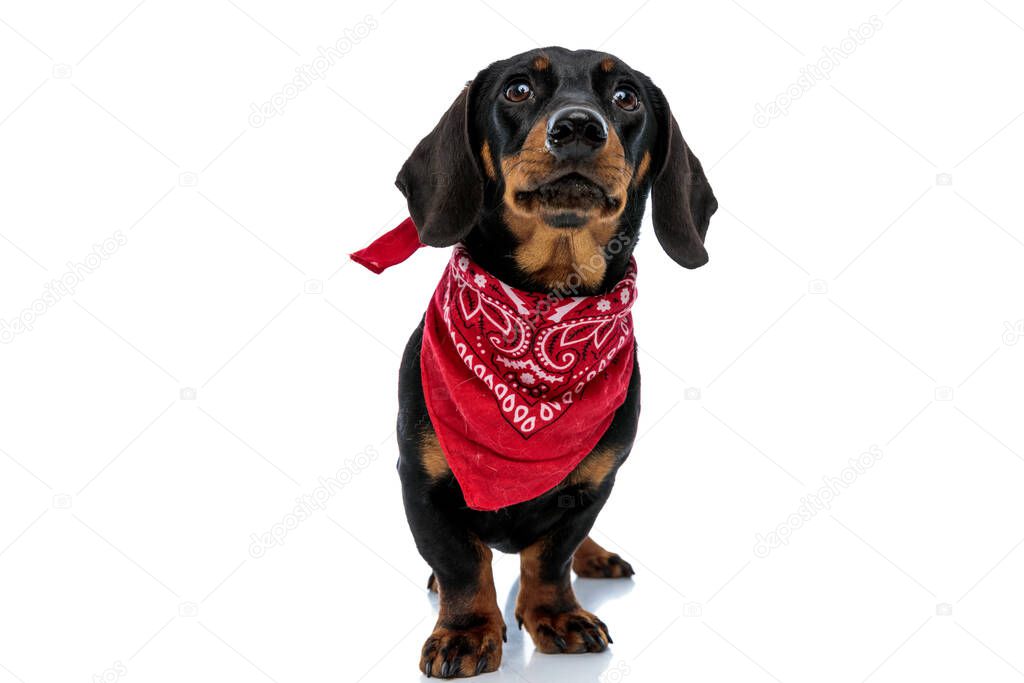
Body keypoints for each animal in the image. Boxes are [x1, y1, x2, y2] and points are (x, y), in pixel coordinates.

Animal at [380, 46, 716, 679]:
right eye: (516, 89)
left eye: (626, 96)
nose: (579, 127)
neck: (544, 307)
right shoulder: (422, 482)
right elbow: (462, 563)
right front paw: (465, 631)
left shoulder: (592, 484)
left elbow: (551, 558)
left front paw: (558, 616)